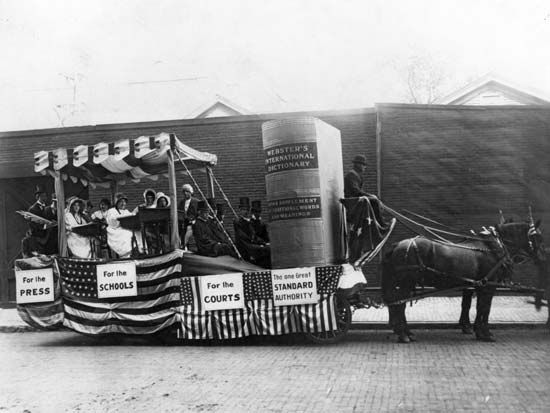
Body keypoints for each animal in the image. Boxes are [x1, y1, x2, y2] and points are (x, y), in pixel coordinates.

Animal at [382, 220, 544, 342]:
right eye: (536, 237)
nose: (542, 258)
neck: (492, 248)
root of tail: (398, 245)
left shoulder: (479, 286)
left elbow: (477, 308)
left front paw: (478, 331)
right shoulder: (488, 287)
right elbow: (485, 308)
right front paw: (486, 334)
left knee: (397, 304)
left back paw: (406, 332)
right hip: (406, 282)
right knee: (400, 304)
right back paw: (403, 335)